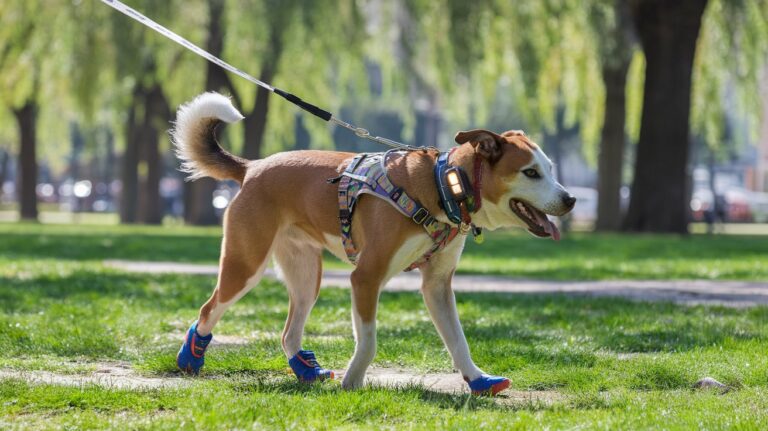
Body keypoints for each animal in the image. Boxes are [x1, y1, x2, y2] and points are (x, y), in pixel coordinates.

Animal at [171, 93, 572, 396]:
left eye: (550, 169)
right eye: (531, 173)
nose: (570, 200)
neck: (445, 184)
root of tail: (252, 167)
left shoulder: (437, 286)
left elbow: (458, 339)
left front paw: (477, 380)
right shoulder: (365, 277)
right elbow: (368, 341)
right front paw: (352, 382)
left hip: (306, 275)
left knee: (288, 332)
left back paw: (306, 372)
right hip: (247, 264)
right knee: (209, 309)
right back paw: (191, 359)